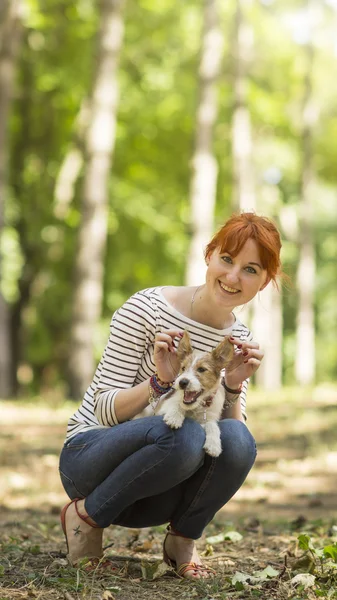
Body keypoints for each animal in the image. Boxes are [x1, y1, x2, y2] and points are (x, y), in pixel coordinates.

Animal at [158, 330, 234, 458]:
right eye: (183, 368)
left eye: (202, 369)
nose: (182, 382)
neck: (198, 405)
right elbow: (176, 404)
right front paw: (174, 417)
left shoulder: (210, 416)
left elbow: (213, 426)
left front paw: (214, 445)